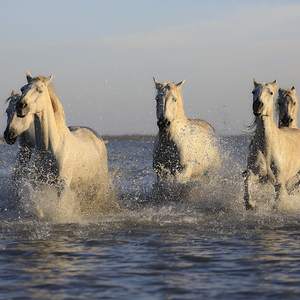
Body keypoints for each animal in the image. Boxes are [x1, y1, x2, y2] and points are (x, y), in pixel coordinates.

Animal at [244, 79, 300, 211]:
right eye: (253, 91)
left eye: (270, 92)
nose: (257, 106)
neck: (267, 148)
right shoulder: (257, 174)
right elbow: (247, 179)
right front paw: (250, 204)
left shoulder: (279, 181)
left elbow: (278, 200)